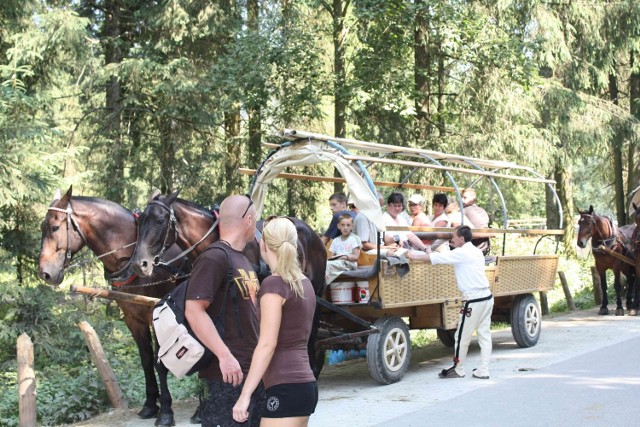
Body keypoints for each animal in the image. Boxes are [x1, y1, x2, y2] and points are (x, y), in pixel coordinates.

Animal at [37, 187, 190, 427]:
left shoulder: (156, 314)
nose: (45, 273)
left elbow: (160, 362)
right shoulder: (132, 318)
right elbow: (146, 360)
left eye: (54, 227)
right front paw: (150, 405)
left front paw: (166, 411)